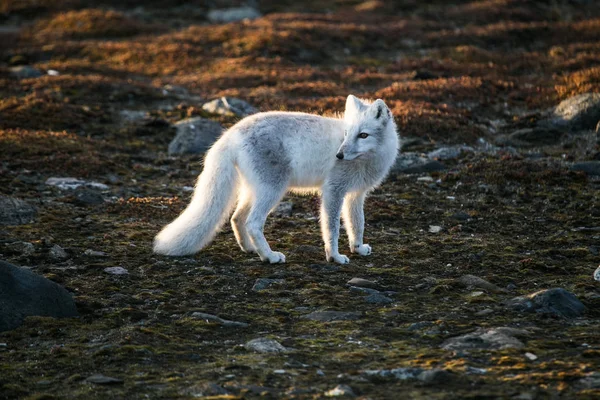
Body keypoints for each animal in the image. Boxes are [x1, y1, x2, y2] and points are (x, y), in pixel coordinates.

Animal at [154, 95, 398, 264]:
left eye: (363, 135)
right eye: (346, 134)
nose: (338, 155)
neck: (370, 159)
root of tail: (231, 133)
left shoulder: (356, 194)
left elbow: (358, 223)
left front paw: (358, 248)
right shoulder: (333, 191)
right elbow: (332, 228)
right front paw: (334, 256)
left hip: (254, 190)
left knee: (236, 218)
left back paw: (251, 249)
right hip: (273, 189)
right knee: (252, 222)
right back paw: (269, 257)